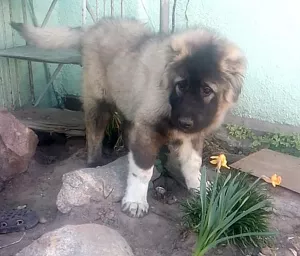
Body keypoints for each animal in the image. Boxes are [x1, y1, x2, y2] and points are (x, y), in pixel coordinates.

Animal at [11, 18, 246, 218]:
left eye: (207, 90)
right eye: (181, 85)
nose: (185, 122)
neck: (168, 98)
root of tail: (92, 27)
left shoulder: (191, 134)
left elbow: (193, 162)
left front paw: (199, 187)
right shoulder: (148, 129)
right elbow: (142, 171)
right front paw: (135, 201)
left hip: (129, 104)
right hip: (99, 99)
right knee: (94, 133)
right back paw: (95, 162)